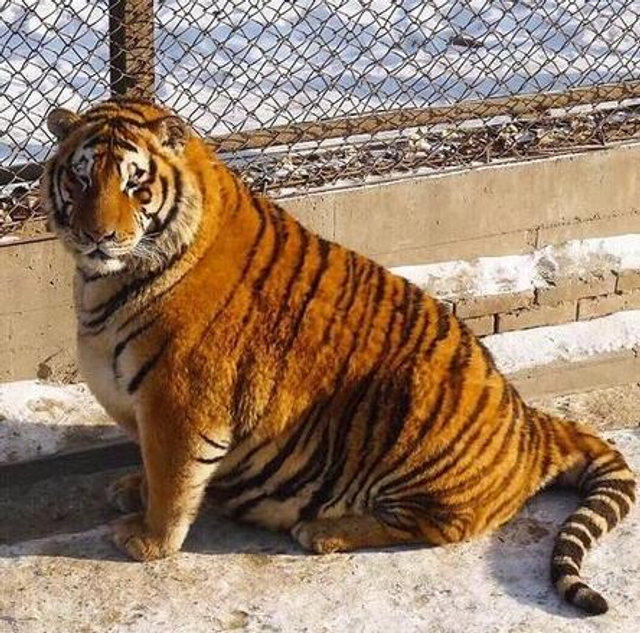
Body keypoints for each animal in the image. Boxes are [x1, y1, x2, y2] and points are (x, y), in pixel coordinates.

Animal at [41, 98, 635, 616]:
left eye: (135, 183)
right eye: (80, 178)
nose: (97, 235)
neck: (103, 282)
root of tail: (531, 423)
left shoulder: (180, 402)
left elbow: (172, 479)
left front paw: (148, 541)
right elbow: (149, 463)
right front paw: (131, 490)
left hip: (415, 410)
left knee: (439, 527)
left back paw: (323, 531)